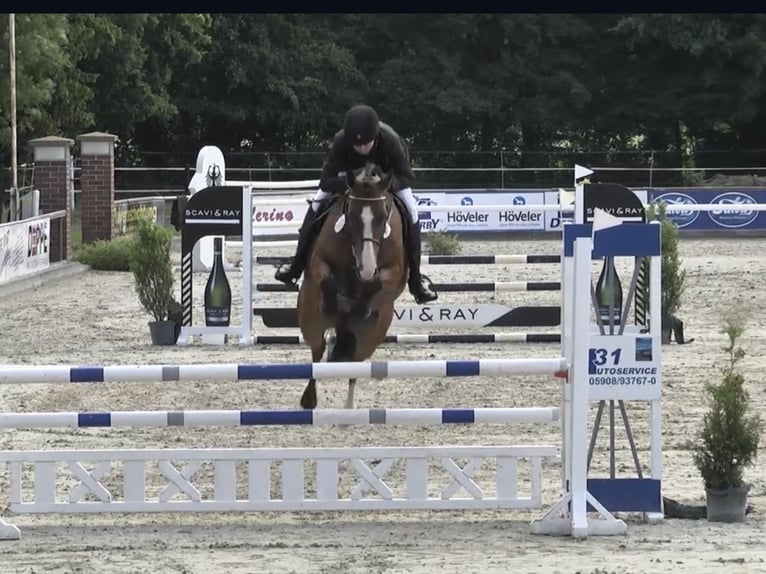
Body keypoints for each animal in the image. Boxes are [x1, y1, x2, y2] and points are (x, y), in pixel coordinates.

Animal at [296, 164, 412, 412]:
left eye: (383, 216)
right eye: (350, 215)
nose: (366, 268)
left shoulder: (393, 272)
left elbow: (377, 284)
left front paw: (360, 307)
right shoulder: (320, 262)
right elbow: (327, 280)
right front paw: (335, 303)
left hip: (370, 338)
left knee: (355, 364)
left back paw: (348, 410)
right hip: (310, 321)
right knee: (318, 349)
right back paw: (309, 399)